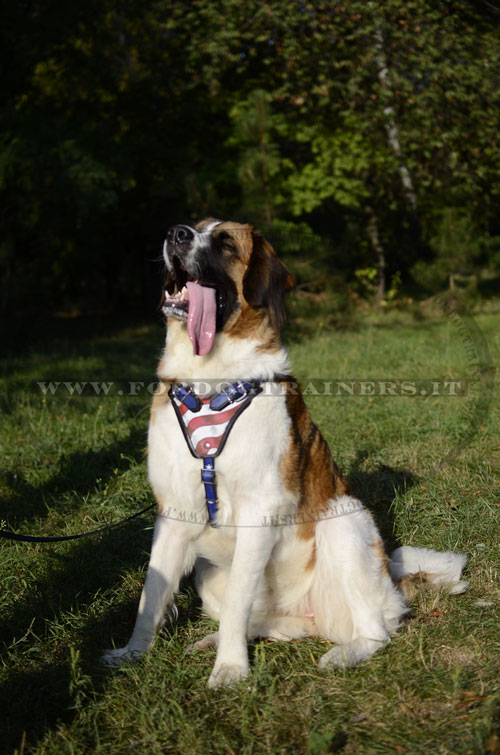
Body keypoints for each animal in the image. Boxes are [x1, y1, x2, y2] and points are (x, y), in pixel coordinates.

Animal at [102, 220, 468, 692]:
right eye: (193, 228)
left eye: (224, 241)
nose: (175, 233)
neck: (208, 380)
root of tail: (392, 582)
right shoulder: (174, 512)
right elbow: (151, 595)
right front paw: (132, 654)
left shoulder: (260, 510)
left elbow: (238, 596)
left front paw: (230, 669)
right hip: (209, 571)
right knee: (267, 622)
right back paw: (218, 638)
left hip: (342, 519)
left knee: (377, 629)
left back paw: (342, 654)